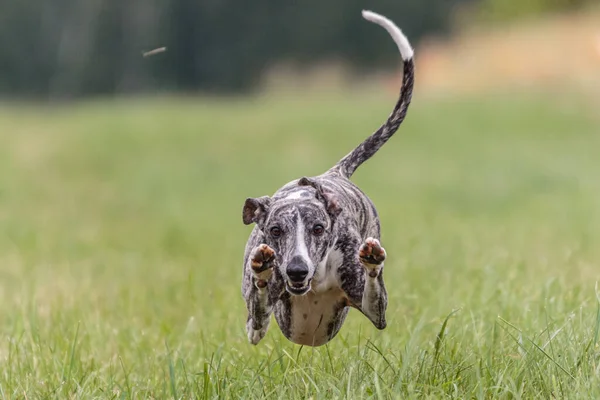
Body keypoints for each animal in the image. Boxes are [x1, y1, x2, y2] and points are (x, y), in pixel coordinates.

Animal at [239, 10, 412, 346]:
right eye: (275, 230)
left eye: (318, 229)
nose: (296, 270)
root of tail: (334, 171)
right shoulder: (256, 325)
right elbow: (258, 312)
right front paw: (262, 267)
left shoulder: (377, 313)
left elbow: (376, 301)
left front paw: (373, 261)